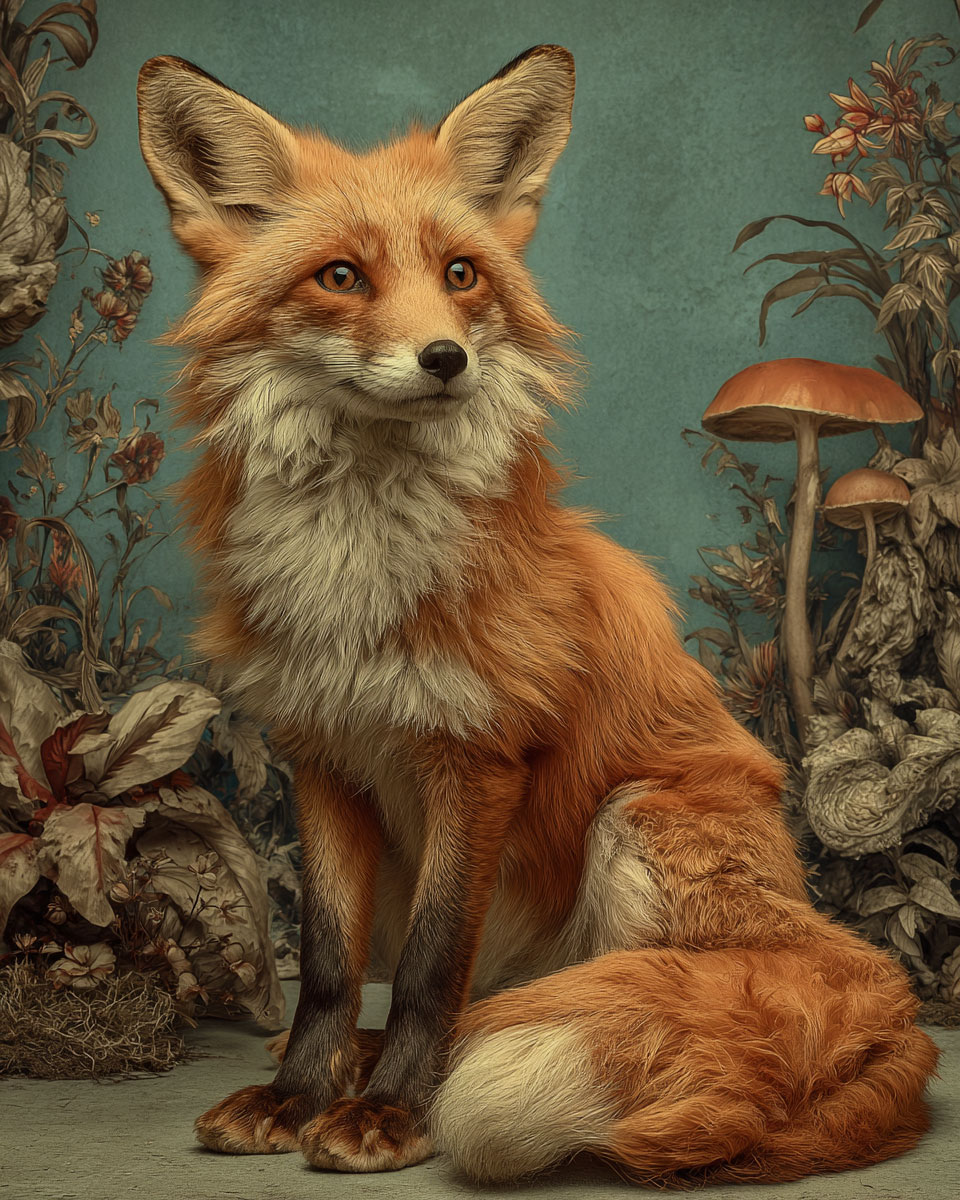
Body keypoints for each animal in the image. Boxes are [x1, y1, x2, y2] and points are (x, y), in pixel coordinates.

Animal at [136, 45, 938, 1184]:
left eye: (461, 275)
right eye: (341, 277)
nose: (445, 359)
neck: (359, 570)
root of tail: (888, 993)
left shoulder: (477, 755)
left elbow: (430, 966)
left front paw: (394, 1114)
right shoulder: (323, 755)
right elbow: (331, 965)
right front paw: (300, 1093)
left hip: (637, 820)